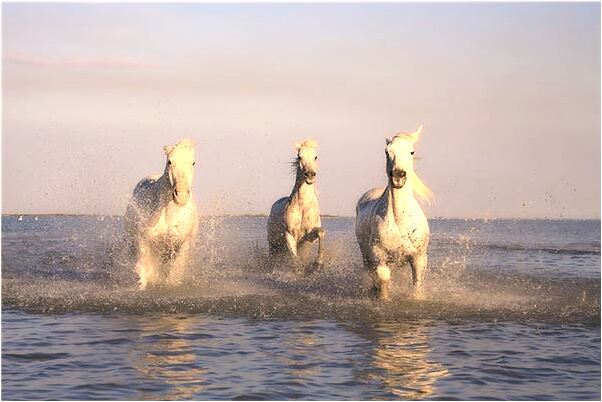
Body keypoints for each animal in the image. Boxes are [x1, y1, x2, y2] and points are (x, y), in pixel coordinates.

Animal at [123, 139, 198, 288]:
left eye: (193, 162)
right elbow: (143, 270)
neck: (167, 213)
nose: (181, 195)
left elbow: (173, 274)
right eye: (170, 161)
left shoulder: (181, 245)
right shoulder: (144, 240)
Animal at [268, 139, 324, 274]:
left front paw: (318, 264)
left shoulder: (308, 236)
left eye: (316, 156)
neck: (303, 206)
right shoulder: (289, 235)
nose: (310, 175)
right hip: (273, 243)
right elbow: (295, 258)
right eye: (299, 156)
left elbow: (321, 232)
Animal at [352, 125, 432, 298]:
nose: (398, 176)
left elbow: (417, 285)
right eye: (387, 151)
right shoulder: (379, 256)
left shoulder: (419, 258)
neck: (400, 220)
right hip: (366, 256)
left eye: (412, 151)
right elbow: (383, 280)